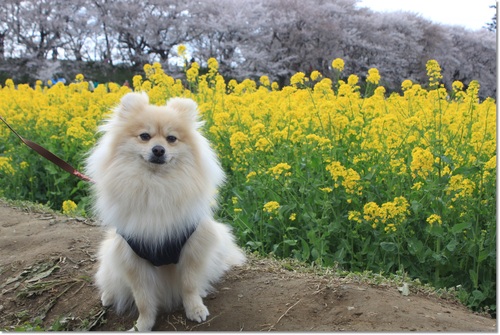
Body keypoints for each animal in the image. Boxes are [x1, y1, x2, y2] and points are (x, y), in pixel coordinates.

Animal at [85, 92, 246, 334]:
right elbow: (143, 298)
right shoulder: (133, 258)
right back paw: (108, 296)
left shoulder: (192, 248)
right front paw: (142, 325)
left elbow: (189, 285)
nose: (158, 149)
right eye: (144, 136)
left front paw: (195, 309)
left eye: (171, 139)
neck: (156, 186)